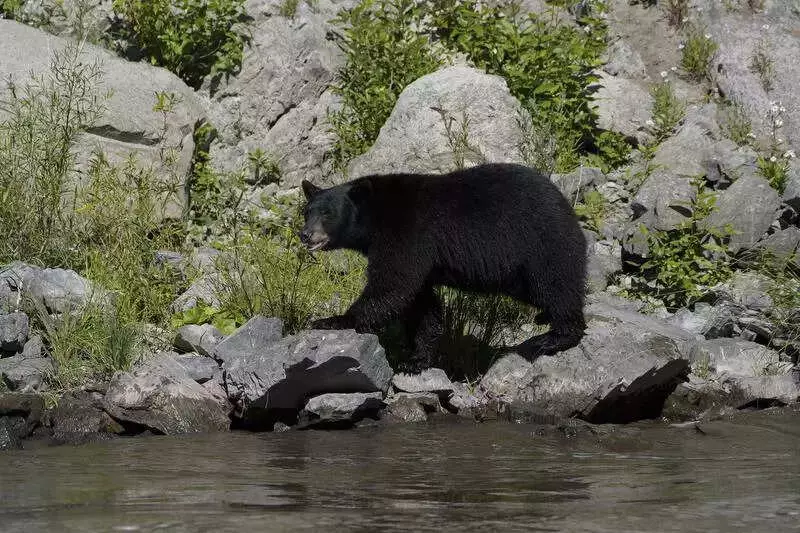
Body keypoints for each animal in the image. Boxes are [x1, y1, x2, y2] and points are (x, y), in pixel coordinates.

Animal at [299, 162, 587, 371]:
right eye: (307, 211)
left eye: (327, 213)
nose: (305, 235)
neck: (374, 217)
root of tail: (565, 204)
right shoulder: (420, 257)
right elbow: (421, 303)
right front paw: (417, 359)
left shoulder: (406, 234)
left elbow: (393, 284)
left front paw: (333, 320)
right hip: (520, 272)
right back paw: (545, 318)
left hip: (541, 243)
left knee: (556, 286)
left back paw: (554, 337)